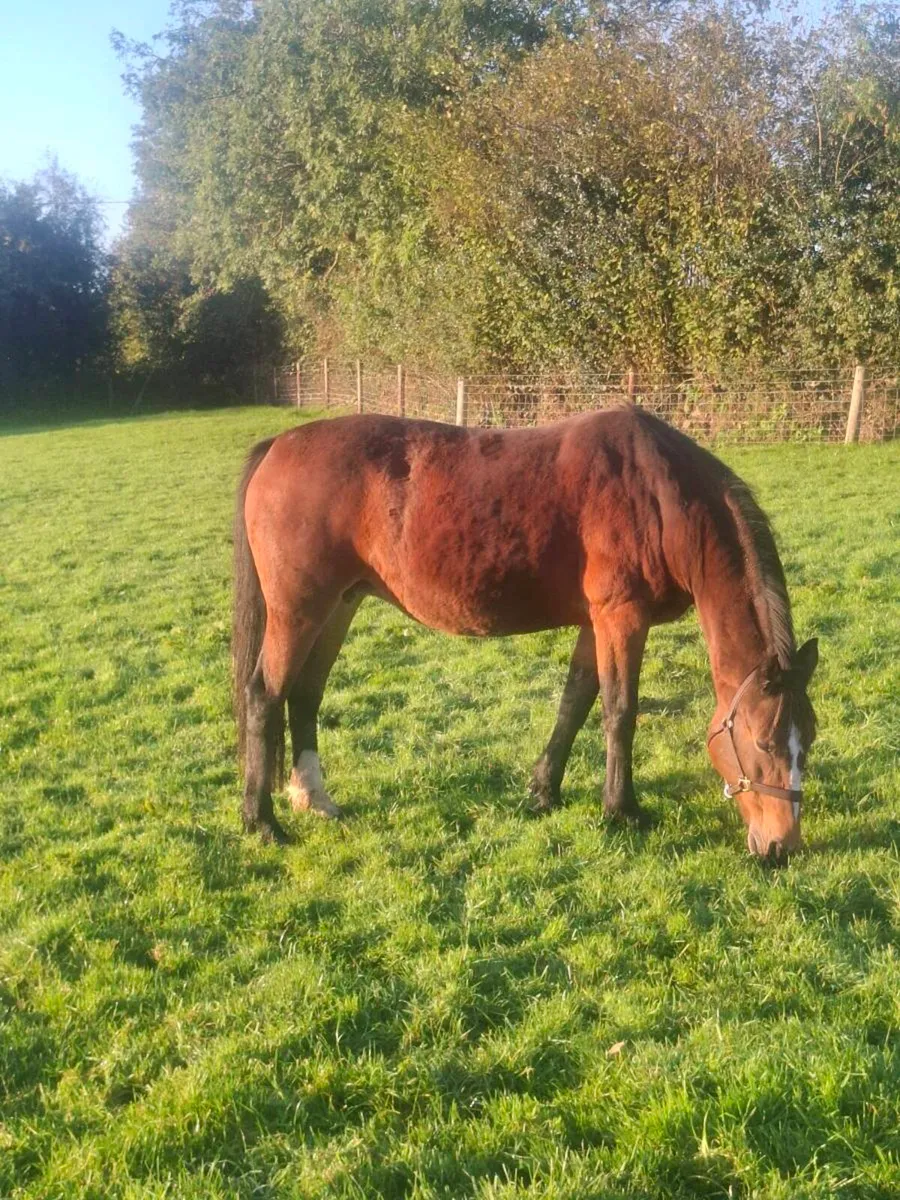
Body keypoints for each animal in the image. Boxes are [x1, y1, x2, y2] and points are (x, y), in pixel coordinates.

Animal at [232, 406, 817, 860]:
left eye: (807, 740)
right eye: (764, 742)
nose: (781, 847)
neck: (660, 497)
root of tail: (278, 445)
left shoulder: (594, 623)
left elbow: (575, 701)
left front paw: (543, 792)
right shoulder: (621, 618)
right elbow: (620, 712)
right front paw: (621, 809)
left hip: (338, 606)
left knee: (305, 695)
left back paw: (313, 798)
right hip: (299, 610)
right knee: (264, 695)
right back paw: (263, 822)